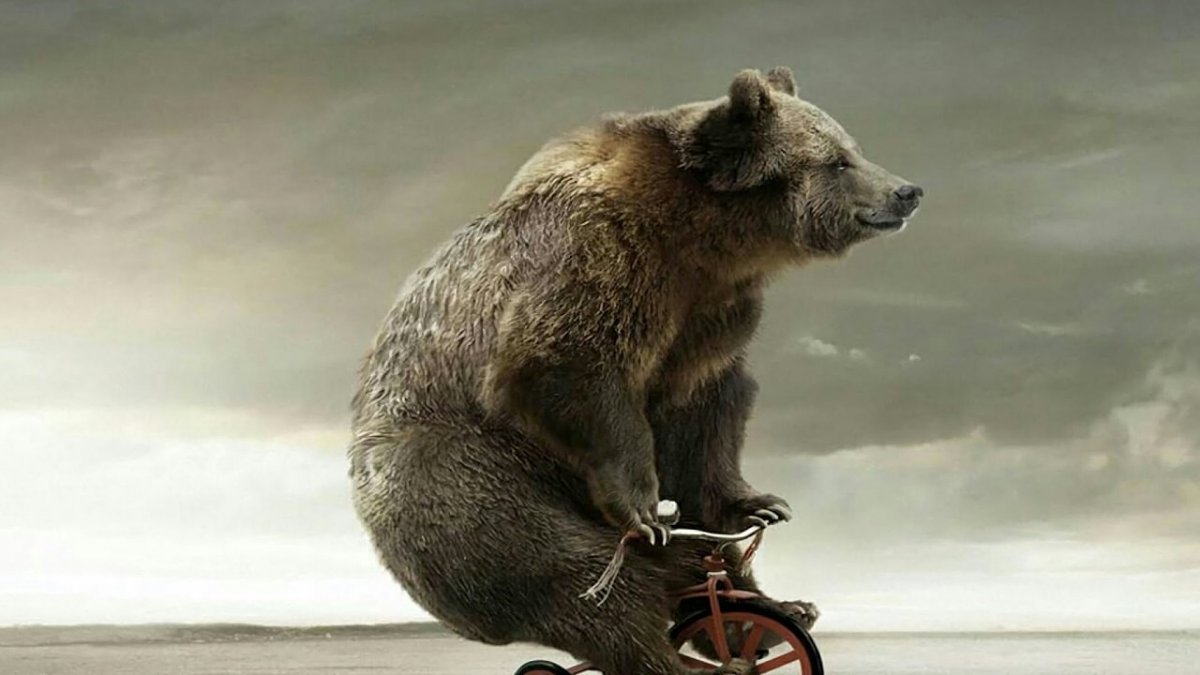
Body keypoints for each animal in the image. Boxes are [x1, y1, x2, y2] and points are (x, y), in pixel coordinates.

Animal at [349, 66, 922, 675]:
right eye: (838, 161)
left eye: (853, 148)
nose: (907, 190)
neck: (704, 237)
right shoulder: (601, 258)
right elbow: (564, 366)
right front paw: (643, 508)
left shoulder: (708, 315)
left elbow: (705, 412)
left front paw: (757, 502)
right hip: (463, 476)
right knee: (577, 577)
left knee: (692, 561)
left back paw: (771, 614)